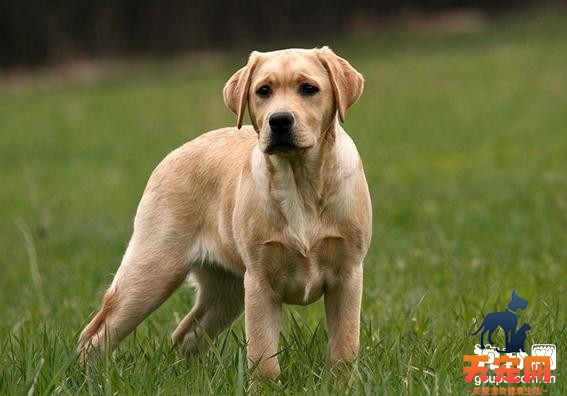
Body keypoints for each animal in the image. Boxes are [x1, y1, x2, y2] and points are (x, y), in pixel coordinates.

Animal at [80, 44, 372, 378]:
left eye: (309, 88)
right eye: (263, 91)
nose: (279, 121)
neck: (300, 182)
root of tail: (174, 152)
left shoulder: (348, 276)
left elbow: (343, 348)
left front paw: (341, 383)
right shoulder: (259, 282)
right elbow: (263, 357)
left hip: (225, 289)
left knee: (185, 333)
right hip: (152, 270)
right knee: (95, 333)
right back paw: (88, 379)